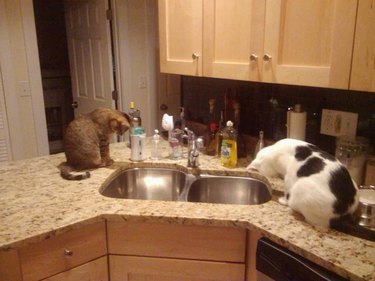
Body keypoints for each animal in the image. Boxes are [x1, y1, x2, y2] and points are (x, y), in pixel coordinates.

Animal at [247, 138, 375, 241]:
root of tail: (345, 215)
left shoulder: (290, 176)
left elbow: (286, 190)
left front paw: (283, 200)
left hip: (300, 189)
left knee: (319, 224)